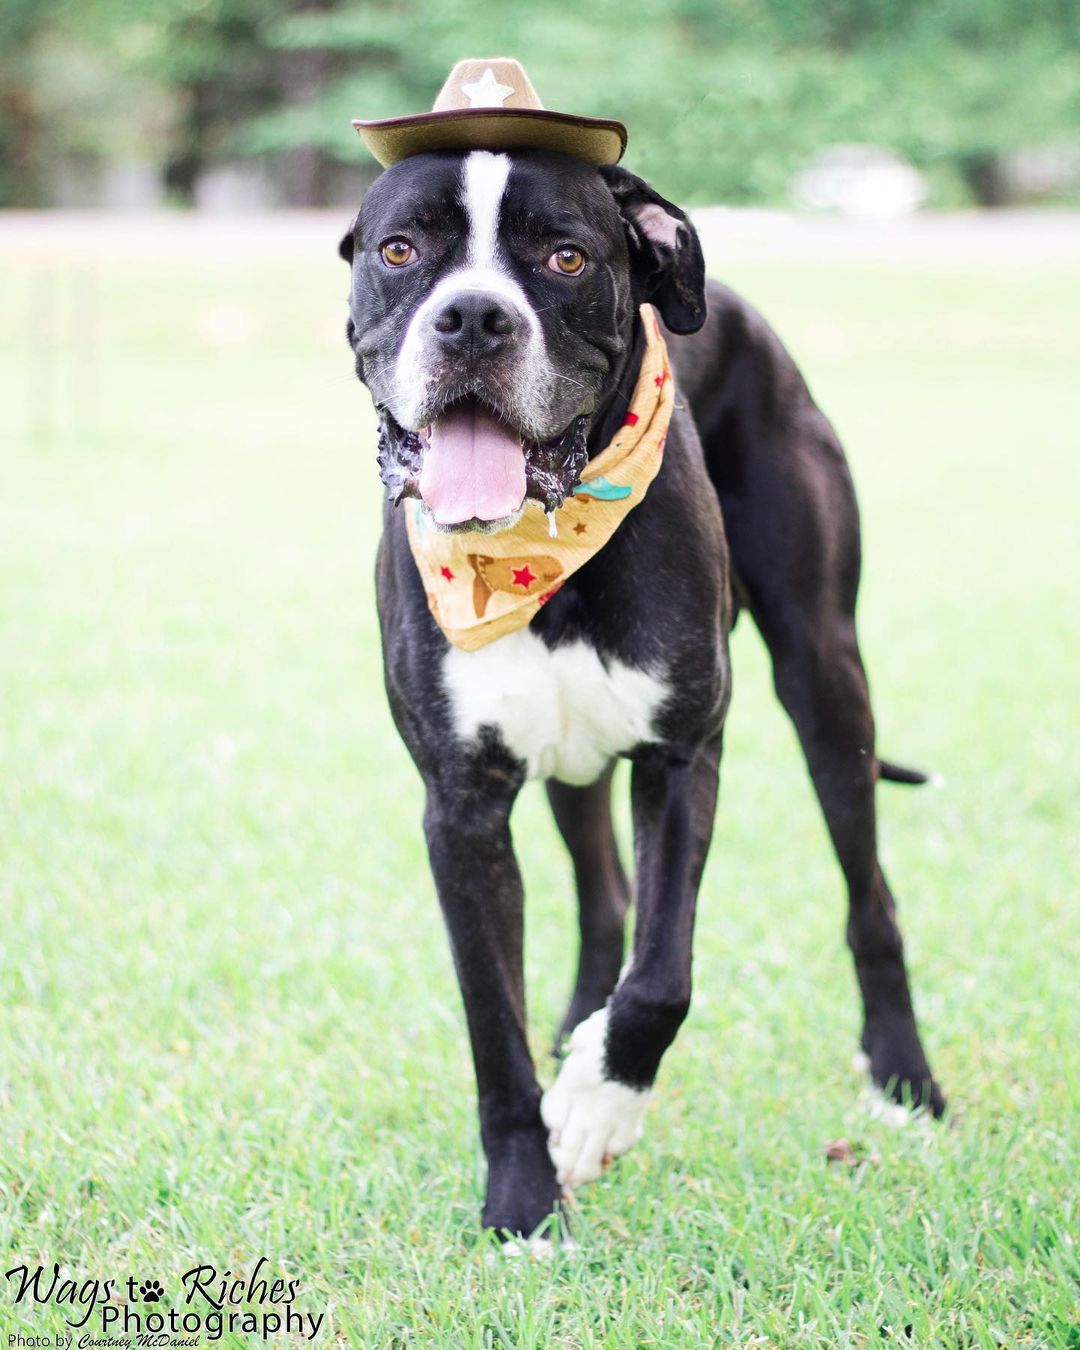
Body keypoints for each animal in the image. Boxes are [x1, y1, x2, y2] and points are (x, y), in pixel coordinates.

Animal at [340, 150, 945, 1242]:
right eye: (400, 250)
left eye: (567, 258)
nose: (473, 318)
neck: (538, 547)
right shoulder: (461, 806)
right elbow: (492, 1027)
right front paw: (523, 1199)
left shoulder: (681, 754)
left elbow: (664, 977)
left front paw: (596, 1107)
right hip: (570, 761)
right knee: (603, 893)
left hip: (826, 681)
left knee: (868, 894)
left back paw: (904, 1077)